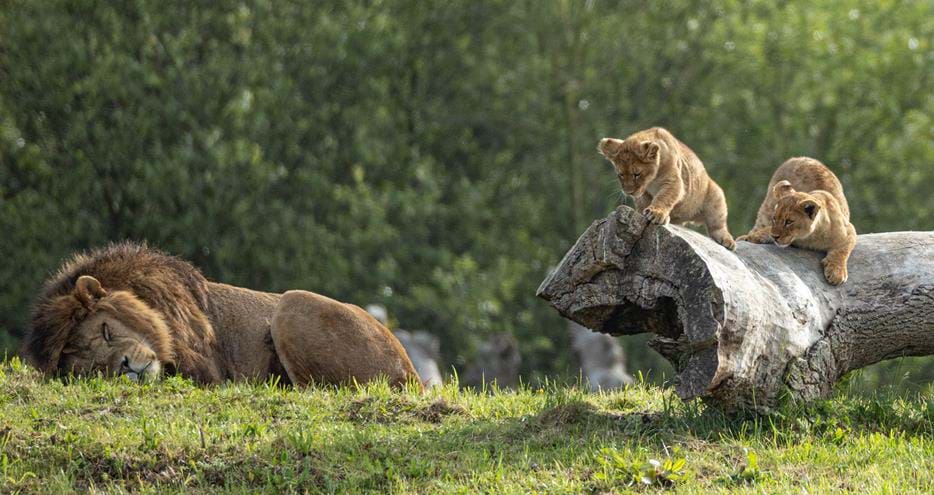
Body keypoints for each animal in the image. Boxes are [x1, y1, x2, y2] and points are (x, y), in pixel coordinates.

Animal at [21, 242, 420, 387]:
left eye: (105, 331)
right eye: (92, 370)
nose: (126, 367)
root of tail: (410, 368)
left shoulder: (207, 367)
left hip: (291, 304)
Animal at [598, 127, 735, 250]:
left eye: (636, 174)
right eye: (620, 174)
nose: (629, 192)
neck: (651, 180)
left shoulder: (673, 182)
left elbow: (664, 197)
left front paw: (656, 213)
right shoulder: (644, 192)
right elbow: (644, 202)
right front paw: (644, 212)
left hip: (715, 194)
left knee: (717, 223)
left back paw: (727, 240)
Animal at [737, 157, 857, 285]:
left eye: (789, 222)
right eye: (775, 219)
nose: (775, 236)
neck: (811, 237)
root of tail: (798, 158)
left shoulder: (849, 230)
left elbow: (842, 250)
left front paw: (836, 272)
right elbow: (766, 229)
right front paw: (752, 237)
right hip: (767, 207)